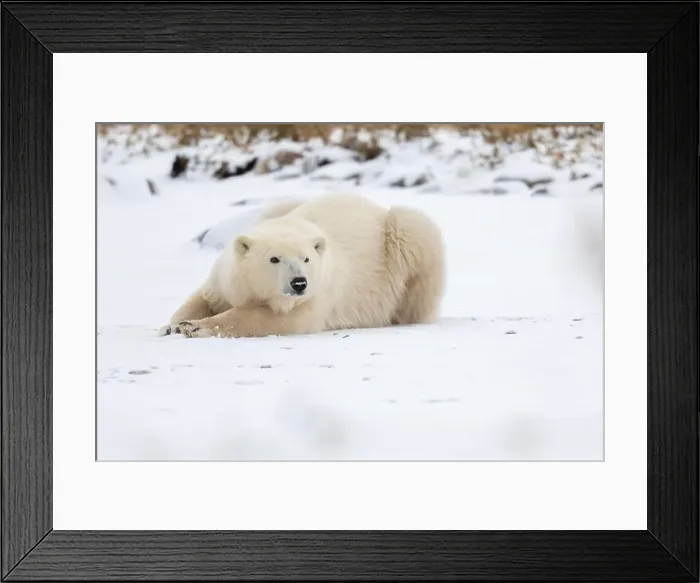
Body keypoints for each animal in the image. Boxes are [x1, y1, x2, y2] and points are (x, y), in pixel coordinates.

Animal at [161, 193, 445, 339]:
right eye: (274, 259)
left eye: (306, 259)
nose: (299, 283)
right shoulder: (225, 277)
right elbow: (205, 297)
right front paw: (175, 324)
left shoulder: (318, 294)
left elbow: (273, 318)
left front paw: (197, 327)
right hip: (278, 207)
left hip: (401, 238)